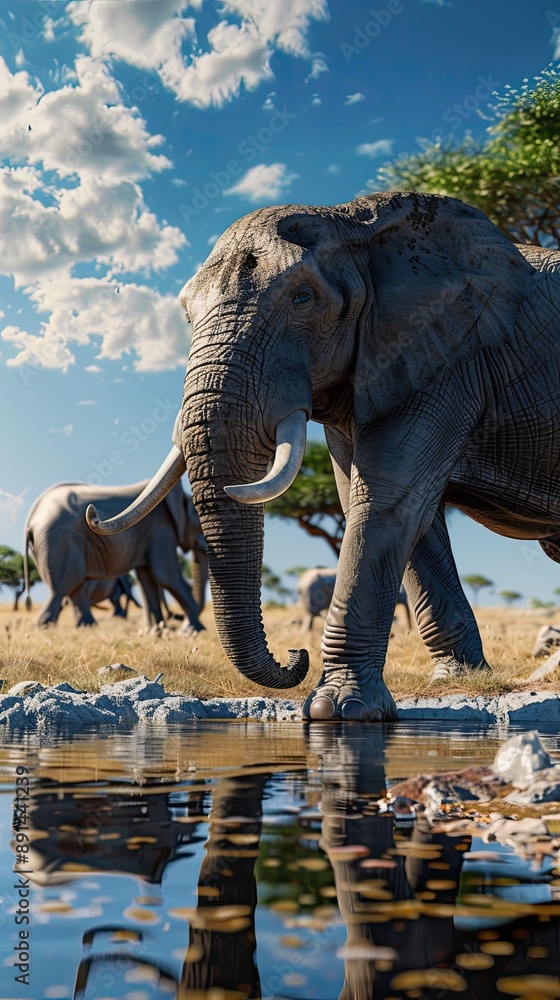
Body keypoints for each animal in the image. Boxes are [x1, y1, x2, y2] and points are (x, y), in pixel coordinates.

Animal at [25, 480, 207, 629]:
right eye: (198, 522)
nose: (178, 617)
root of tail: (31, 521)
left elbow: (146, 579)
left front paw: (156, 632)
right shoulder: (161, 527)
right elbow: (165, 575)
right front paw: (193, 631)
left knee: (73, 588)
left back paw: (87, 626)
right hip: (61, 542)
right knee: (65, 585)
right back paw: (49, 627)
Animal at [86, 190, 560, 721]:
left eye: (302, 298)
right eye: (187, 316)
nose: (295, 655)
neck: (354, 220)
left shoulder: (451, 359)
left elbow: (388, 504)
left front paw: (339, 710)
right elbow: (394, 511)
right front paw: (458, 680)